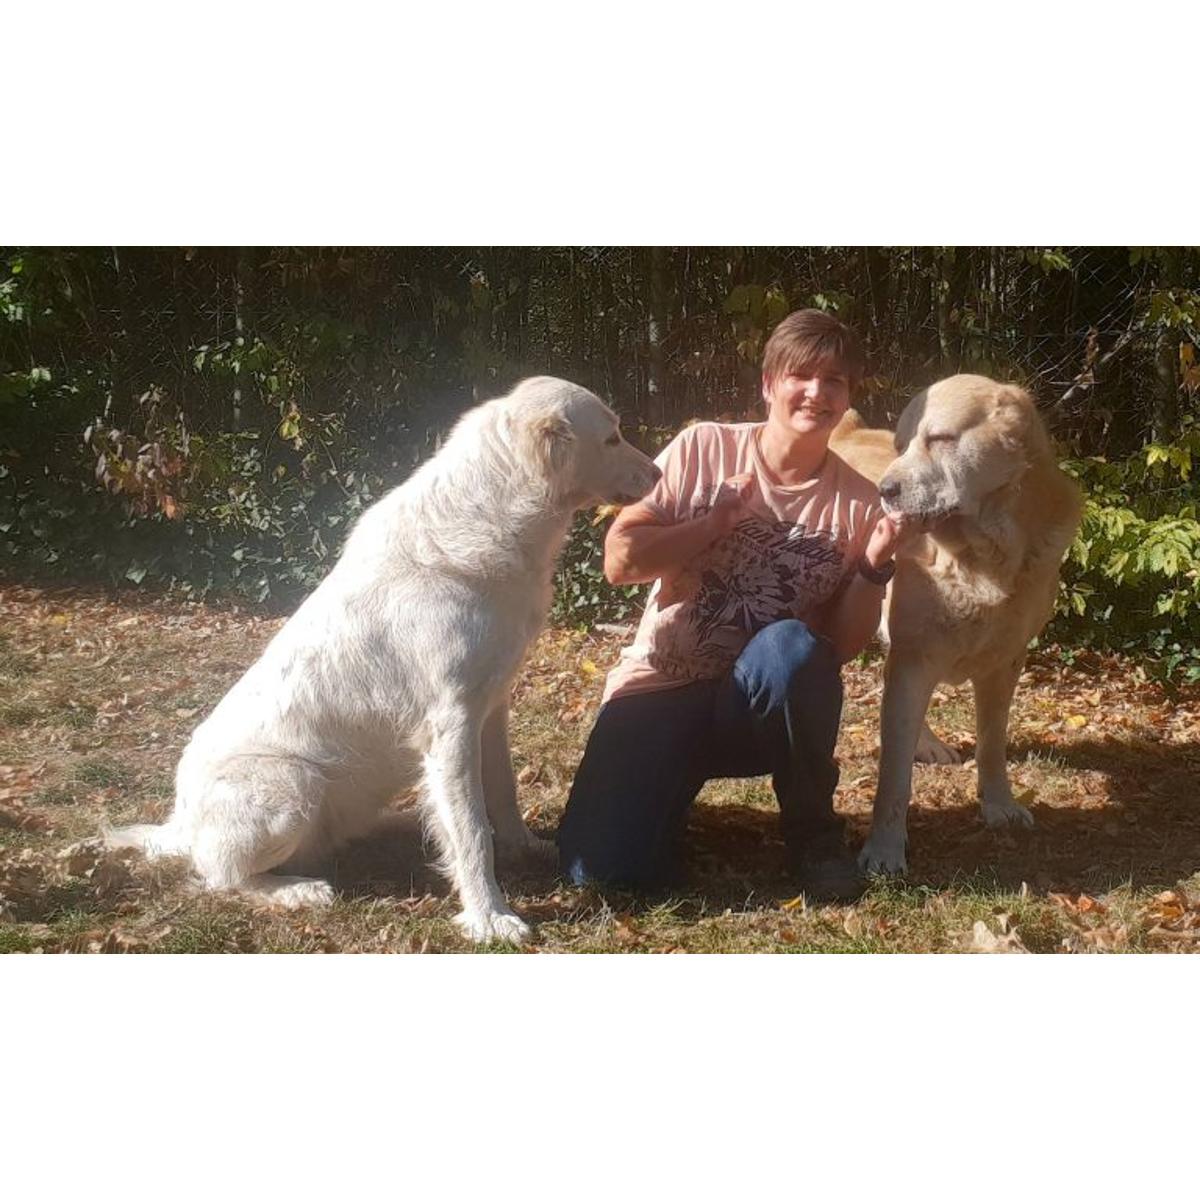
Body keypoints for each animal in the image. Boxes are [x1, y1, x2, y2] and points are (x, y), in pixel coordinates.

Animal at [108, 374, 662, 936]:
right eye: (612, 438)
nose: (660, 473)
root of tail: (179, 824)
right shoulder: (451, 722)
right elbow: (470, 832)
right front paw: (489, 917)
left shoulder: (491, 711)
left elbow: (502, 797)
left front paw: (524, 848)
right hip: (293, 785)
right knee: (220, 876)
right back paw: (299, 891)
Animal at [830, 374, 1084, 873]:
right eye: (902, 445)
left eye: (940, 439)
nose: (884, 490)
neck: (980, 560)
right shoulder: (914, 660)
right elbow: (893, 780)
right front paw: (884, 849)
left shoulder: (1005, 663)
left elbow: (991, 742)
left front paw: (999, 805)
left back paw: (926, 744)